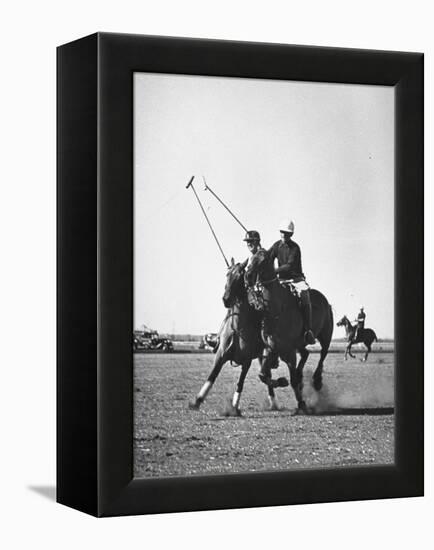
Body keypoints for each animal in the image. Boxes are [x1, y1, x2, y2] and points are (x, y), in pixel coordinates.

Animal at [190, 260, 288, 416]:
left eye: (238, 277)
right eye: (227, 275)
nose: (226, 299)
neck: (238, 327)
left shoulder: (247, 360)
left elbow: (240, 383)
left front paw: (234, 407)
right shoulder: (220, 355)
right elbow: (212, 376)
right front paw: (197, 401)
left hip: (262, 354)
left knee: (266, 375)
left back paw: (275, 400)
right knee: (265, 375)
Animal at [246, 253, 334, 414]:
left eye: (263, 259)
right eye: (251, 258)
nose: (247, 276)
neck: (276, 309)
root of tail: (324, 300)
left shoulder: (289, 351)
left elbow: (292, 380)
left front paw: (302, 404)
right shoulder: (272, 347)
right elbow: (263, 375)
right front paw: (281, 381)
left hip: (326, 335)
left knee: (323, 353)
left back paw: (317, 381)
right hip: (300, 344)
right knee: (306, 354)